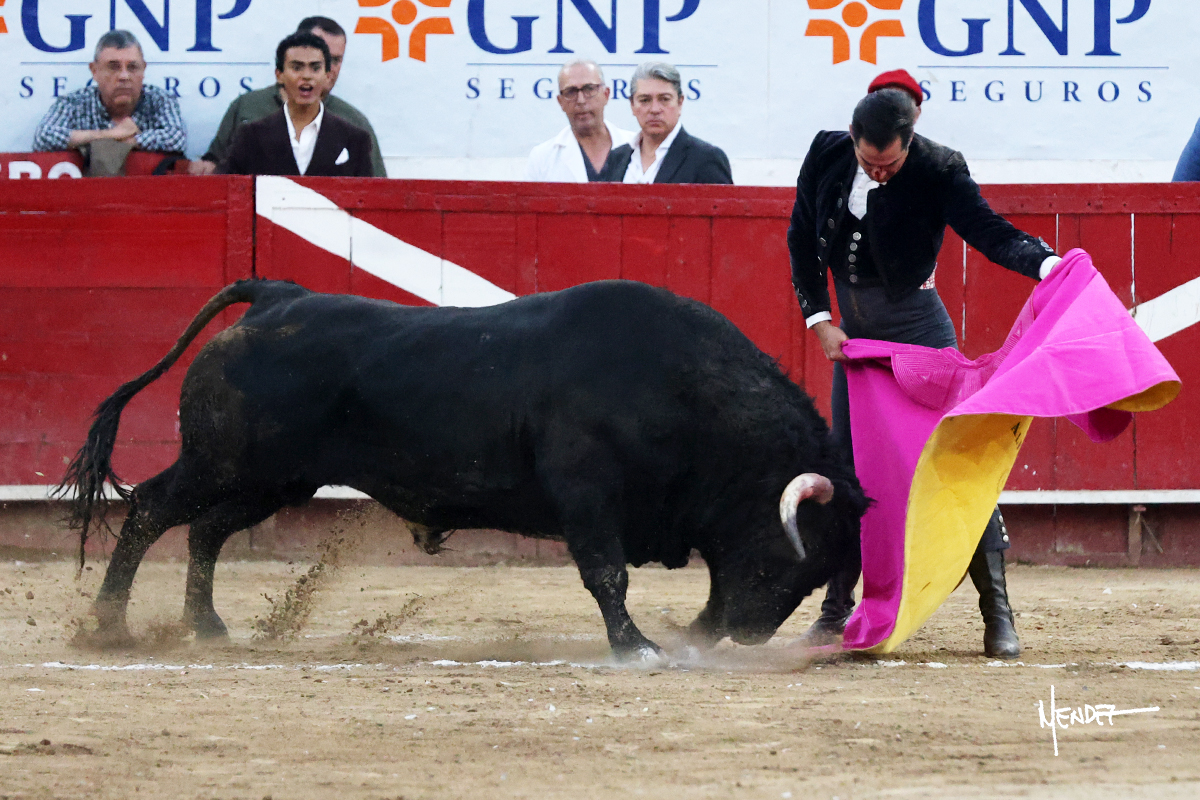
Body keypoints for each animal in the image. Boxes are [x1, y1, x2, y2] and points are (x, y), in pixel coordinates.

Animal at [62, 279, 868, 659]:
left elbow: (703, 578)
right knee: (149, 509)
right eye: (794, 555)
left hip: (269, 481)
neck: (684, 390)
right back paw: (110, 625)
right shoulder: (588, 498)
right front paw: (636, 646)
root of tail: (277, 297)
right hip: (223, 463)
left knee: (207, 532)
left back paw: (207, 626)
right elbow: (607, 573)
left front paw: (688, 638)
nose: (751, 634)